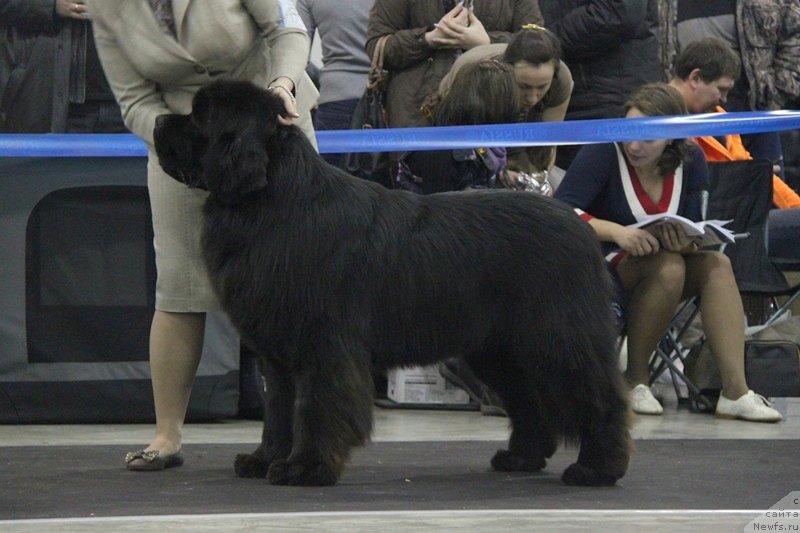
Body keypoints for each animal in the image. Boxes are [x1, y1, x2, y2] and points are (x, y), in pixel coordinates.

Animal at [153, 79, 632, 486]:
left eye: (201, 117)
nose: (157, 121)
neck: (274, 202)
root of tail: (580, 226)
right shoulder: (280, 351)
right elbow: (278, 411)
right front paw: (265, 459)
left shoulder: (323, 345)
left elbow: (315, 407)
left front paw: (306, 467)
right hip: (499, 348)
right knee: (529, 401)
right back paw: (521, 458)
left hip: (558, 337)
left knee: (599, 396)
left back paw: (597, 469)